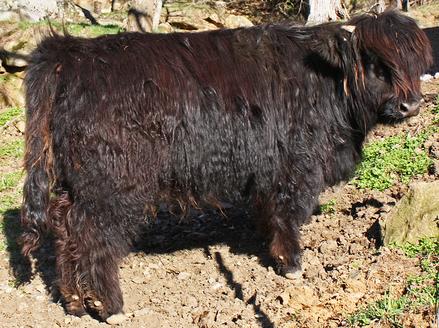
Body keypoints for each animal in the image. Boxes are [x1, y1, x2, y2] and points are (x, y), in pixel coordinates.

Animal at [20, 9, 434, 320]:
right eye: (374, 62)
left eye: (412, 63)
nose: (410, 105)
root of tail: (68, 52)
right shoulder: (296, 166)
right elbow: (288, 214)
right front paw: (291, 263)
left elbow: (270, 212)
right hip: (110, 184)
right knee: (92, 235)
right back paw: (109, 306)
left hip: (73, 183)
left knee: (64, 228)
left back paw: (74, 300)